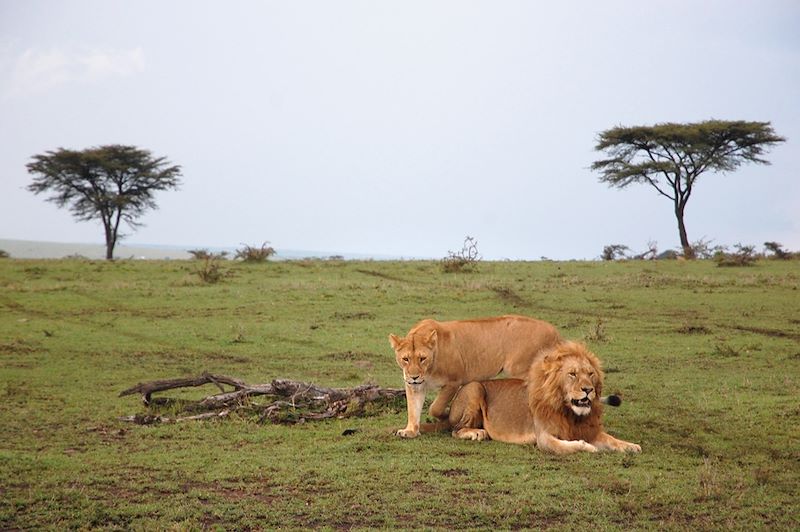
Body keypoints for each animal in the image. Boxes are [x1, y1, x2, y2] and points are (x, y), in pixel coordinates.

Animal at [390, 316, 564, 436]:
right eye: (405, 359)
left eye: (422, 358)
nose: (414, 376)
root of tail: (554, 330)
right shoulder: (414, 386)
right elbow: (413, 408)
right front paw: (410, 431)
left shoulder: (454, 381)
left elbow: (435, 407)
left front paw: (446, 415)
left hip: (521, 369)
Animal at [446, 340, 640, 454]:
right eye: (572, 374)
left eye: (590, 374)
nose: (588, 389)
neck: (571, 414)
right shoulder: (544, 438)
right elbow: (569, 447)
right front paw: (588, 446)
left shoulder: (589, 430)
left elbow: (611, 439)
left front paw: (631, 446)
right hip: (475, 388)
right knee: (455, 429)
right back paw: (476, 433)